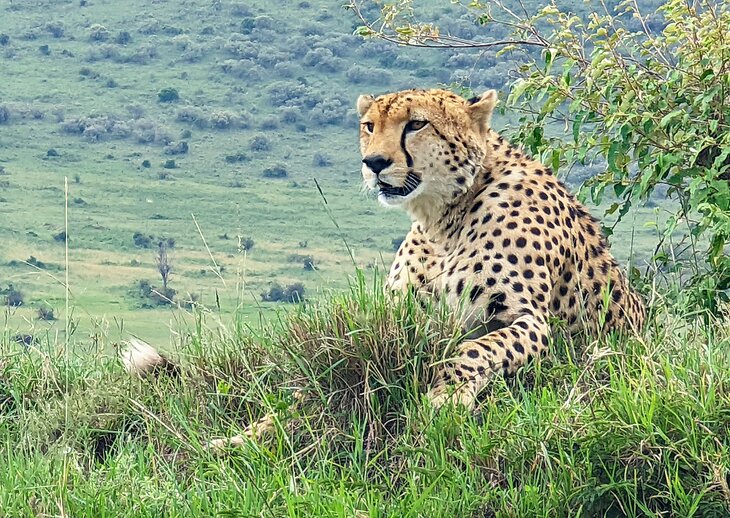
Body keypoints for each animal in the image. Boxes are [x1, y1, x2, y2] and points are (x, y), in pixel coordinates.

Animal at [356, 88, 644, 410]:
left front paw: (448, 395)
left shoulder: (531, 320)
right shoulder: (400, 312)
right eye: (369, 126)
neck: (443, 222)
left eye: (417, 124)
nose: (374, 162)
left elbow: (477, 348)